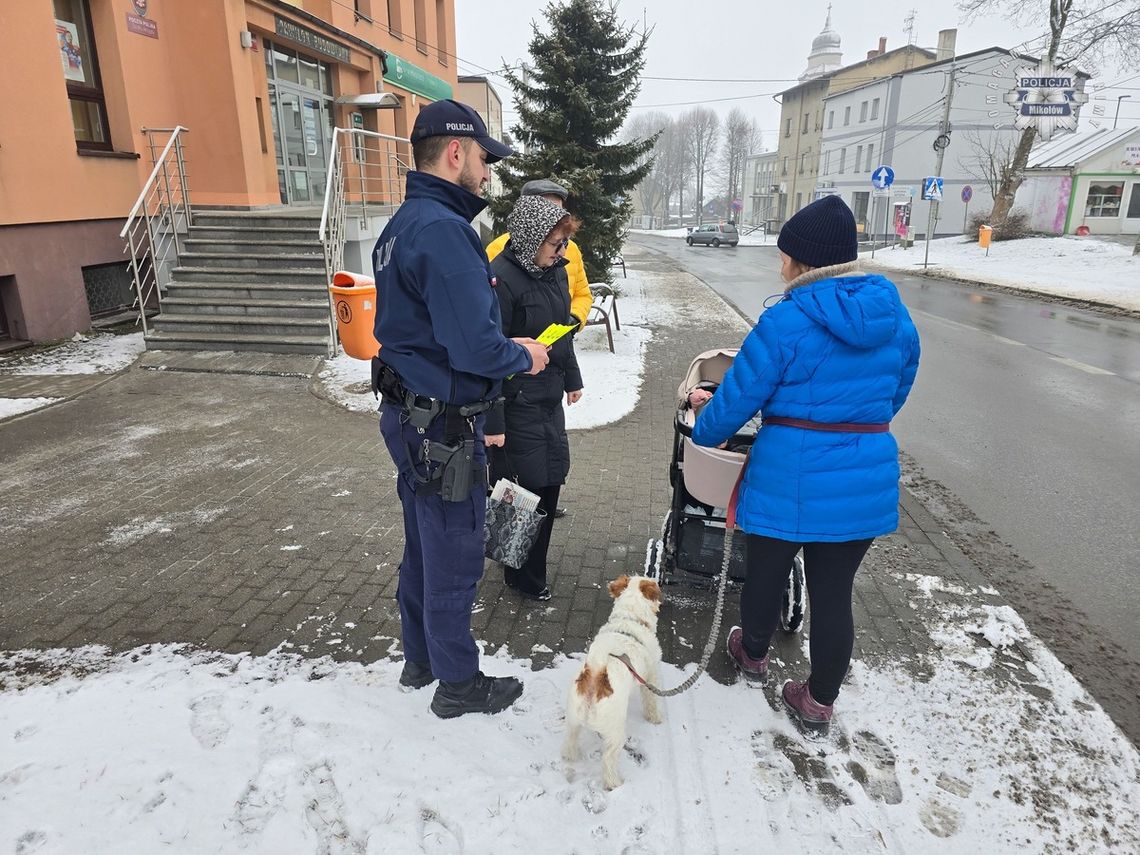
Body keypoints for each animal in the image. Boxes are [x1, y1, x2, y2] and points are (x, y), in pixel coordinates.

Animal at [558, 576, 665, 788]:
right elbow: (650, 701)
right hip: (615, 733)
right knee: (608, 760)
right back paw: (615, 783)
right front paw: (655, 718)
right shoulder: (650, 676)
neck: (629, 620)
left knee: (569, 742)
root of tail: (595, 674)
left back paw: (571, 757)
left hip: (573, 720)